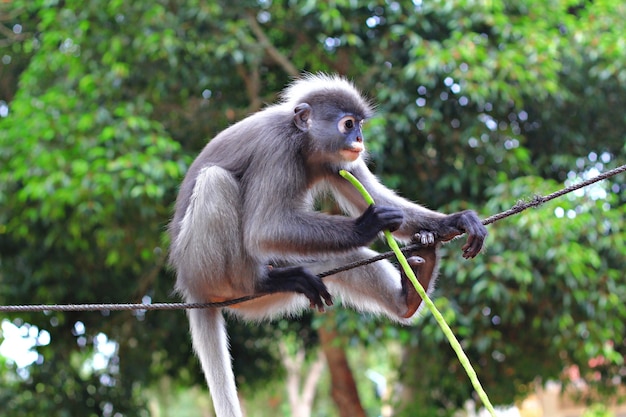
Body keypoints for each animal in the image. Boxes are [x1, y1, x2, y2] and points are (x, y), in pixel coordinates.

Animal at [167, 75, 488, 416]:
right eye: (348, 124)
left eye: (359, 124)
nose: (359, 138)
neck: (303, 143)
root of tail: (190, 287)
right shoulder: (276, 148)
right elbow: (262, 228)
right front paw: (366, 226)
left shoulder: (338, 160)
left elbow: (379, 198)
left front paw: (455, 221)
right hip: (206, 269)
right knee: (216, 181)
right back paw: (262, 281)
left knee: (337, 260)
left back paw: (409, 297)